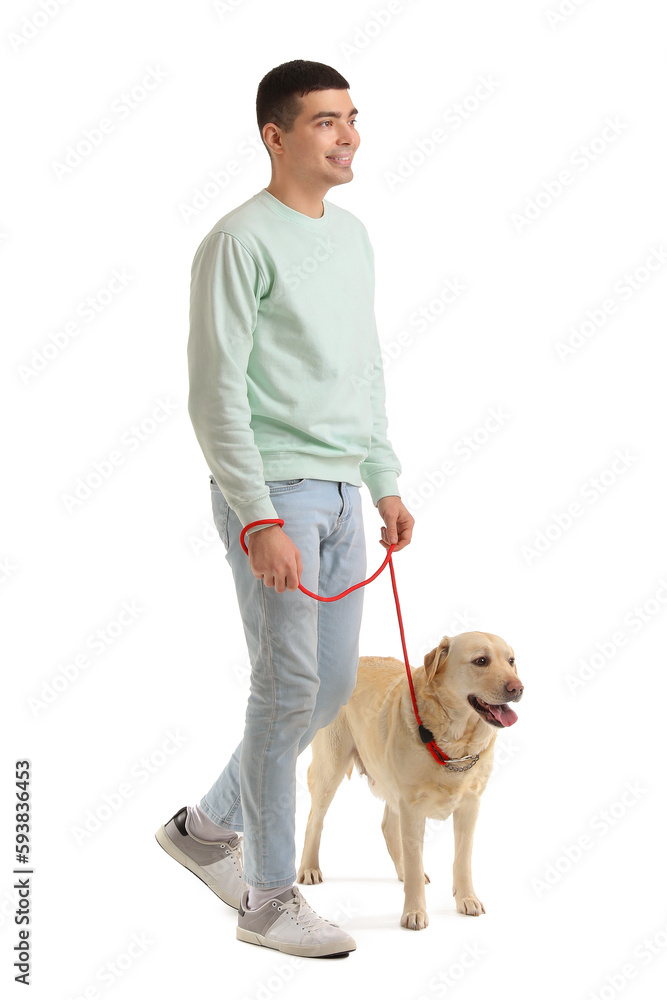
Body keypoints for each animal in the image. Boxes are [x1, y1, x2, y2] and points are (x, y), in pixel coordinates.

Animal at [298, 632, 520, 928]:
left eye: (511, 661)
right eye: (481, 661)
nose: (518, 688)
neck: (455, 743)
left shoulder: (469, 806)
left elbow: (462, 858)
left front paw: (467, 898)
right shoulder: (412, 808)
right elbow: (416, 860)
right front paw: (414, 911)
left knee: (388, 827)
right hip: (330, 768)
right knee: (315, 820)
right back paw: (309, 868)